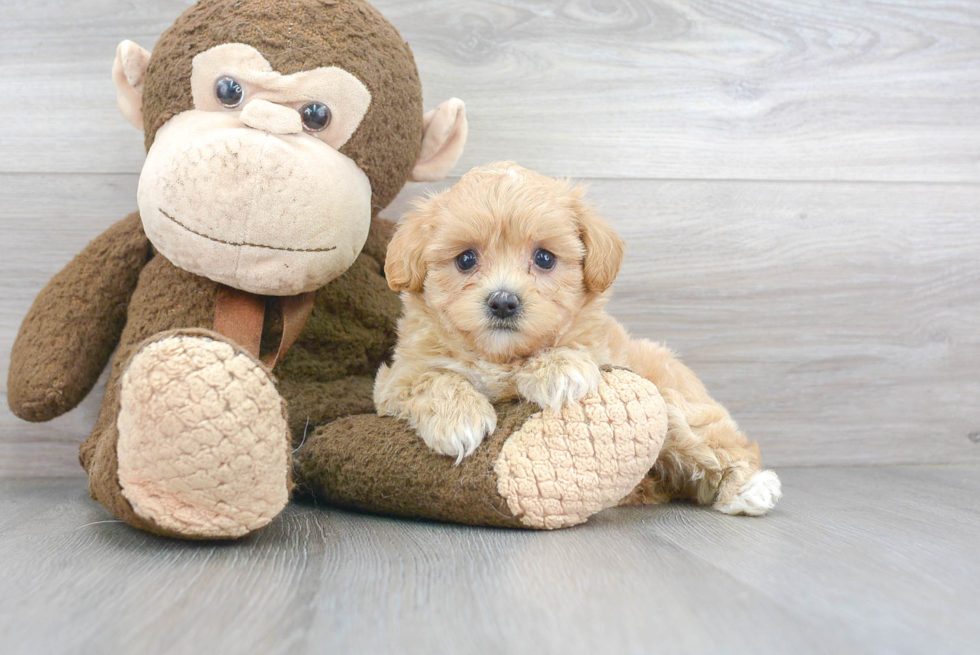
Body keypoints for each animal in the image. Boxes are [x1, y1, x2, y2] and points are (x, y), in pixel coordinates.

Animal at [376, 164, 780, 516]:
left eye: (544, 258)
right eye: (465, 259)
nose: (503, 301)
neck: (501, 358)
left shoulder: (600, 349)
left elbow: (571, 349)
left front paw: (559, 369)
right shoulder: (395, 379)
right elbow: (432, 377)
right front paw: (459, 420)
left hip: (677, 405)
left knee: (719, 445)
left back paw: (749, 488)